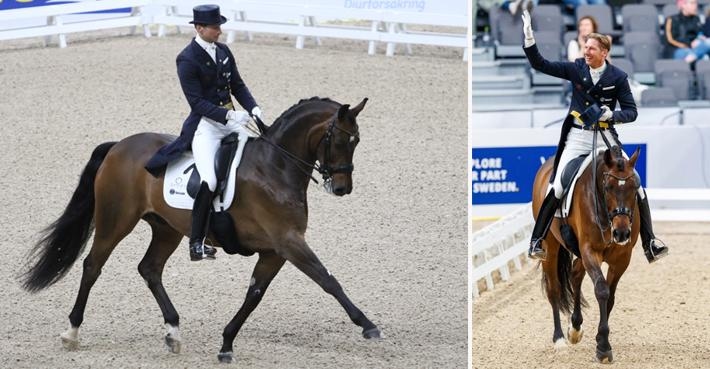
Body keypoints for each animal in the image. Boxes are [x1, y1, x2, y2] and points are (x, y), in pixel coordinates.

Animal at [19, 96, 382, 360]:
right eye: (340, 140)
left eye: (357, 141)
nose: (342, 188)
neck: (275, 167)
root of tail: (119, 145)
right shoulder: (289, 242)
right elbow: (328, 280)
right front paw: (368, 326)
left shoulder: (275, 250)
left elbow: (255, 294)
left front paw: (226, 343)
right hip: (115, 220)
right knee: (93, 265)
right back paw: (71, 333)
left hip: (167, 228)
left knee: (149, 269)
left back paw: (173, 332)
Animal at [536, 144, 644, 362]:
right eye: (608, 187)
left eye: (635, 186)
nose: (621, 233)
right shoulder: (589, 251)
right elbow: (601, 290)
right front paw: (603, 347)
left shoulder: (622, 258)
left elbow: (610, 296)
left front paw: (599, 340)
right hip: (550, 247)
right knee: (554, 289)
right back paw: (559, 338)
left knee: (576, 275)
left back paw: (575, 328)